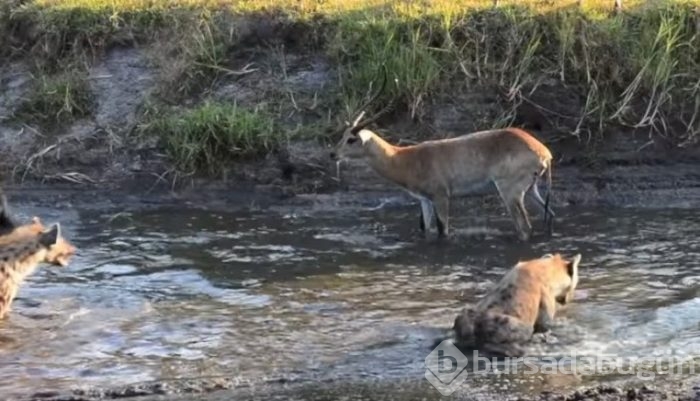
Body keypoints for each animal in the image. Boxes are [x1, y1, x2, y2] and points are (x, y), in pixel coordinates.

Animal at [330, 74, 556, 239]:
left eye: (351, 139)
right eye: (342, 135)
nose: (333, 154)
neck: (405, 158)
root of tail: (544, 152)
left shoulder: (441, 197)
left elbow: (443, 232)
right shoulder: (425, 200)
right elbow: (425, 229)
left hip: (510, 193)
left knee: (524, 227)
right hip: (531, 191)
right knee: (550, 216)